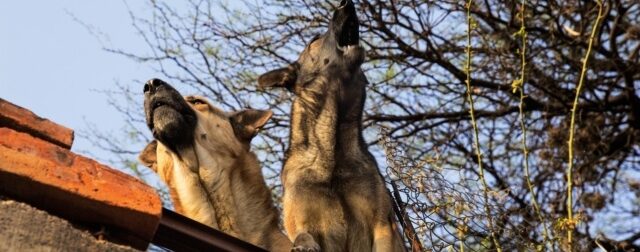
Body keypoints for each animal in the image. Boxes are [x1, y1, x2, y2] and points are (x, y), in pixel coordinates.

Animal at [256, 0, 402, 251]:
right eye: (314, 40)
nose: (346, 3)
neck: (332, 150)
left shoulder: (383, 225)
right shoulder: (301, 222)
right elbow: (303, 235)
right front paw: (305, 246)